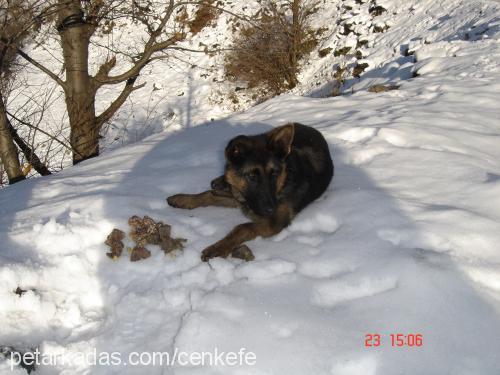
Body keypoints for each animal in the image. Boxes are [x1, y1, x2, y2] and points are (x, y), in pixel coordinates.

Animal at [166, 123, 334, 262]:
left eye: (274, 174)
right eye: (252, 176)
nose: (270, 210)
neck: (284, 181)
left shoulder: (274, 221)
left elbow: (243, 227)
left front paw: (218, 248)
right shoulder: (243, 198)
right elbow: (208, 194)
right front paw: (183, 199)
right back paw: (220, 181)